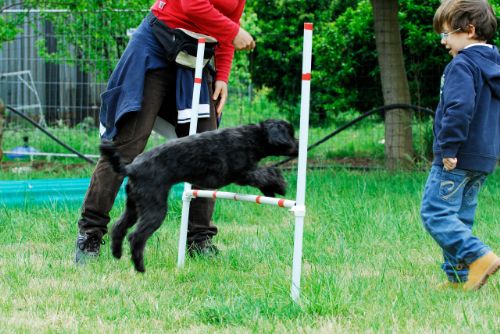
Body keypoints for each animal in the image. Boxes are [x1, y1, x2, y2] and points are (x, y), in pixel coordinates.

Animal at [99, 118, 298, 272]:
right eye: (290, 133)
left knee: (118, 227)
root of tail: (131, 168)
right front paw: (280, 186)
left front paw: (271, 190)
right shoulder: (241, 173)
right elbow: (265, 174)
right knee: (136, 237)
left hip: (134, 206)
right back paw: (139, 267)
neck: (253, 137)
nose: (299, 146)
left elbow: (264, 175)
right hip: (155, 208)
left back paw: (117, 253)